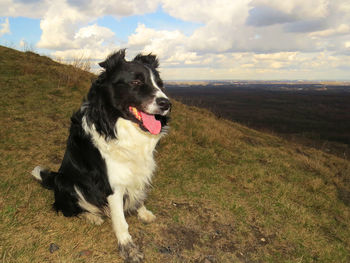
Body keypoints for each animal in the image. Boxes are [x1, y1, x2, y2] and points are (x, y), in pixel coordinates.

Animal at [30, 50, 170, 263]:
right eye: (136, 82)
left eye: (160, 84)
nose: (167, 104)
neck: (117, 125)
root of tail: (54, 179)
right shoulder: (112, 185)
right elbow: (120, 221)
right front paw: (128, 249)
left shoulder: (139, 169)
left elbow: (139, 195)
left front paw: (143, 212)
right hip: (67, 182)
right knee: (68, 208)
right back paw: (92, 216)